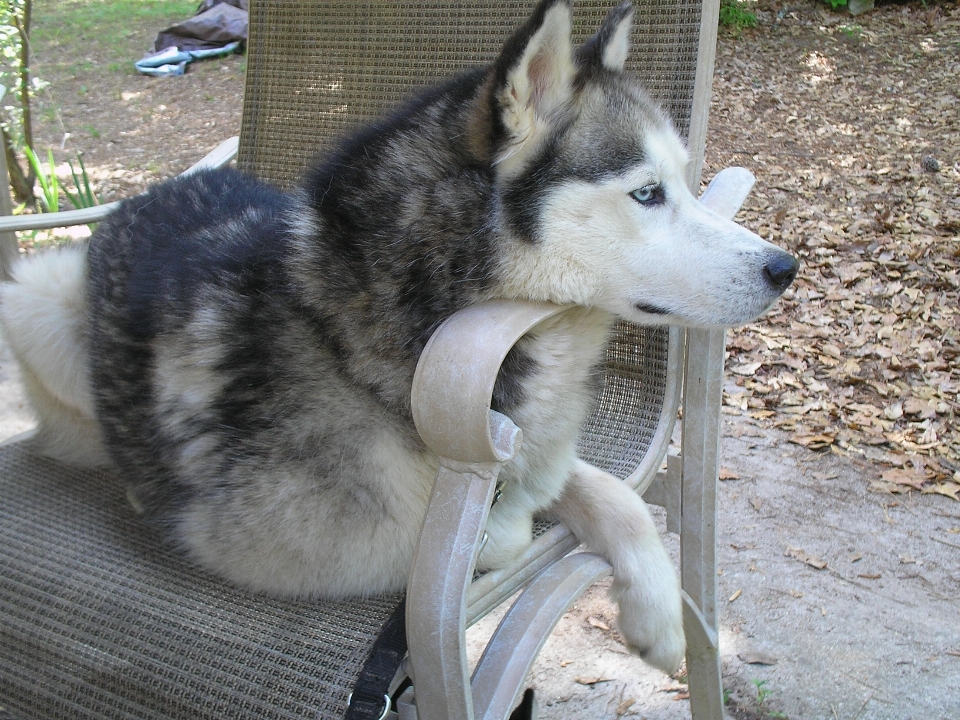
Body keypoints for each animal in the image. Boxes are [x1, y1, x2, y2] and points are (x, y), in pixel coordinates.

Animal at [0, 1, 796, 676]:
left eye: (684, 184)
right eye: (646, 193)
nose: (785, 268)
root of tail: (147, 192)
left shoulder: (527, 453)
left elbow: (605, 491)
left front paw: (659, 618)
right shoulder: (280, 544)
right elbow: (497, 536)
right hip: (36, 295)